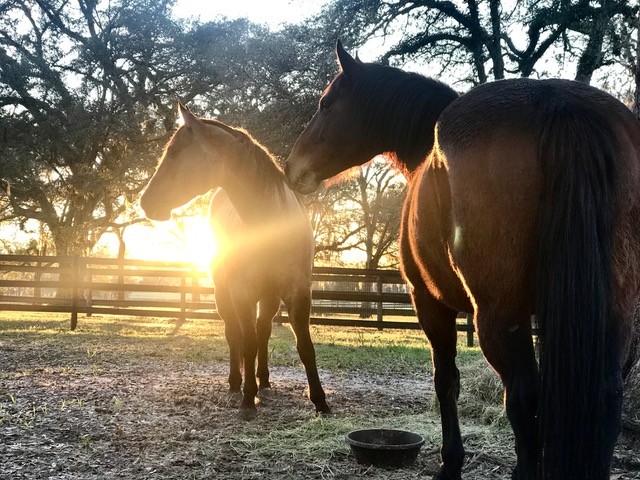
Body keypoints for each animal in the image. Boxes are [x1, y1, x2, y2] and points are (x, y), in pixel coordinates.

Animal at [140, 104, 330, 420]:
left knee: (263, 331)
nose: (146, 202)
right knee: (235, 335)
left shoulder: (299, 293)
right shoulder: (242, 293)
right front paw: (247, 399)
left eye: (175, 151)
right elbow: (246, 342)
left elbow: (304, 345)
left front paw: (320, 401)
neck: (269, 226)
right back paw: (235, 385)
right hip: (224, 293)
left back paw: (263, 382)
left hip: (269, 297)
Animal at [284, 43, 640, 478]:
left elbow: (446, 381)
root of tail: (557, 102)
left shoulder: (429, 303)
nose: (291, 168)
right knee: (605, 395)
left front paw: (450, 462)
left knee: (522, 394)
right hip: (614, 315)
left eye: (326, 103)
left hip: (498, 317)